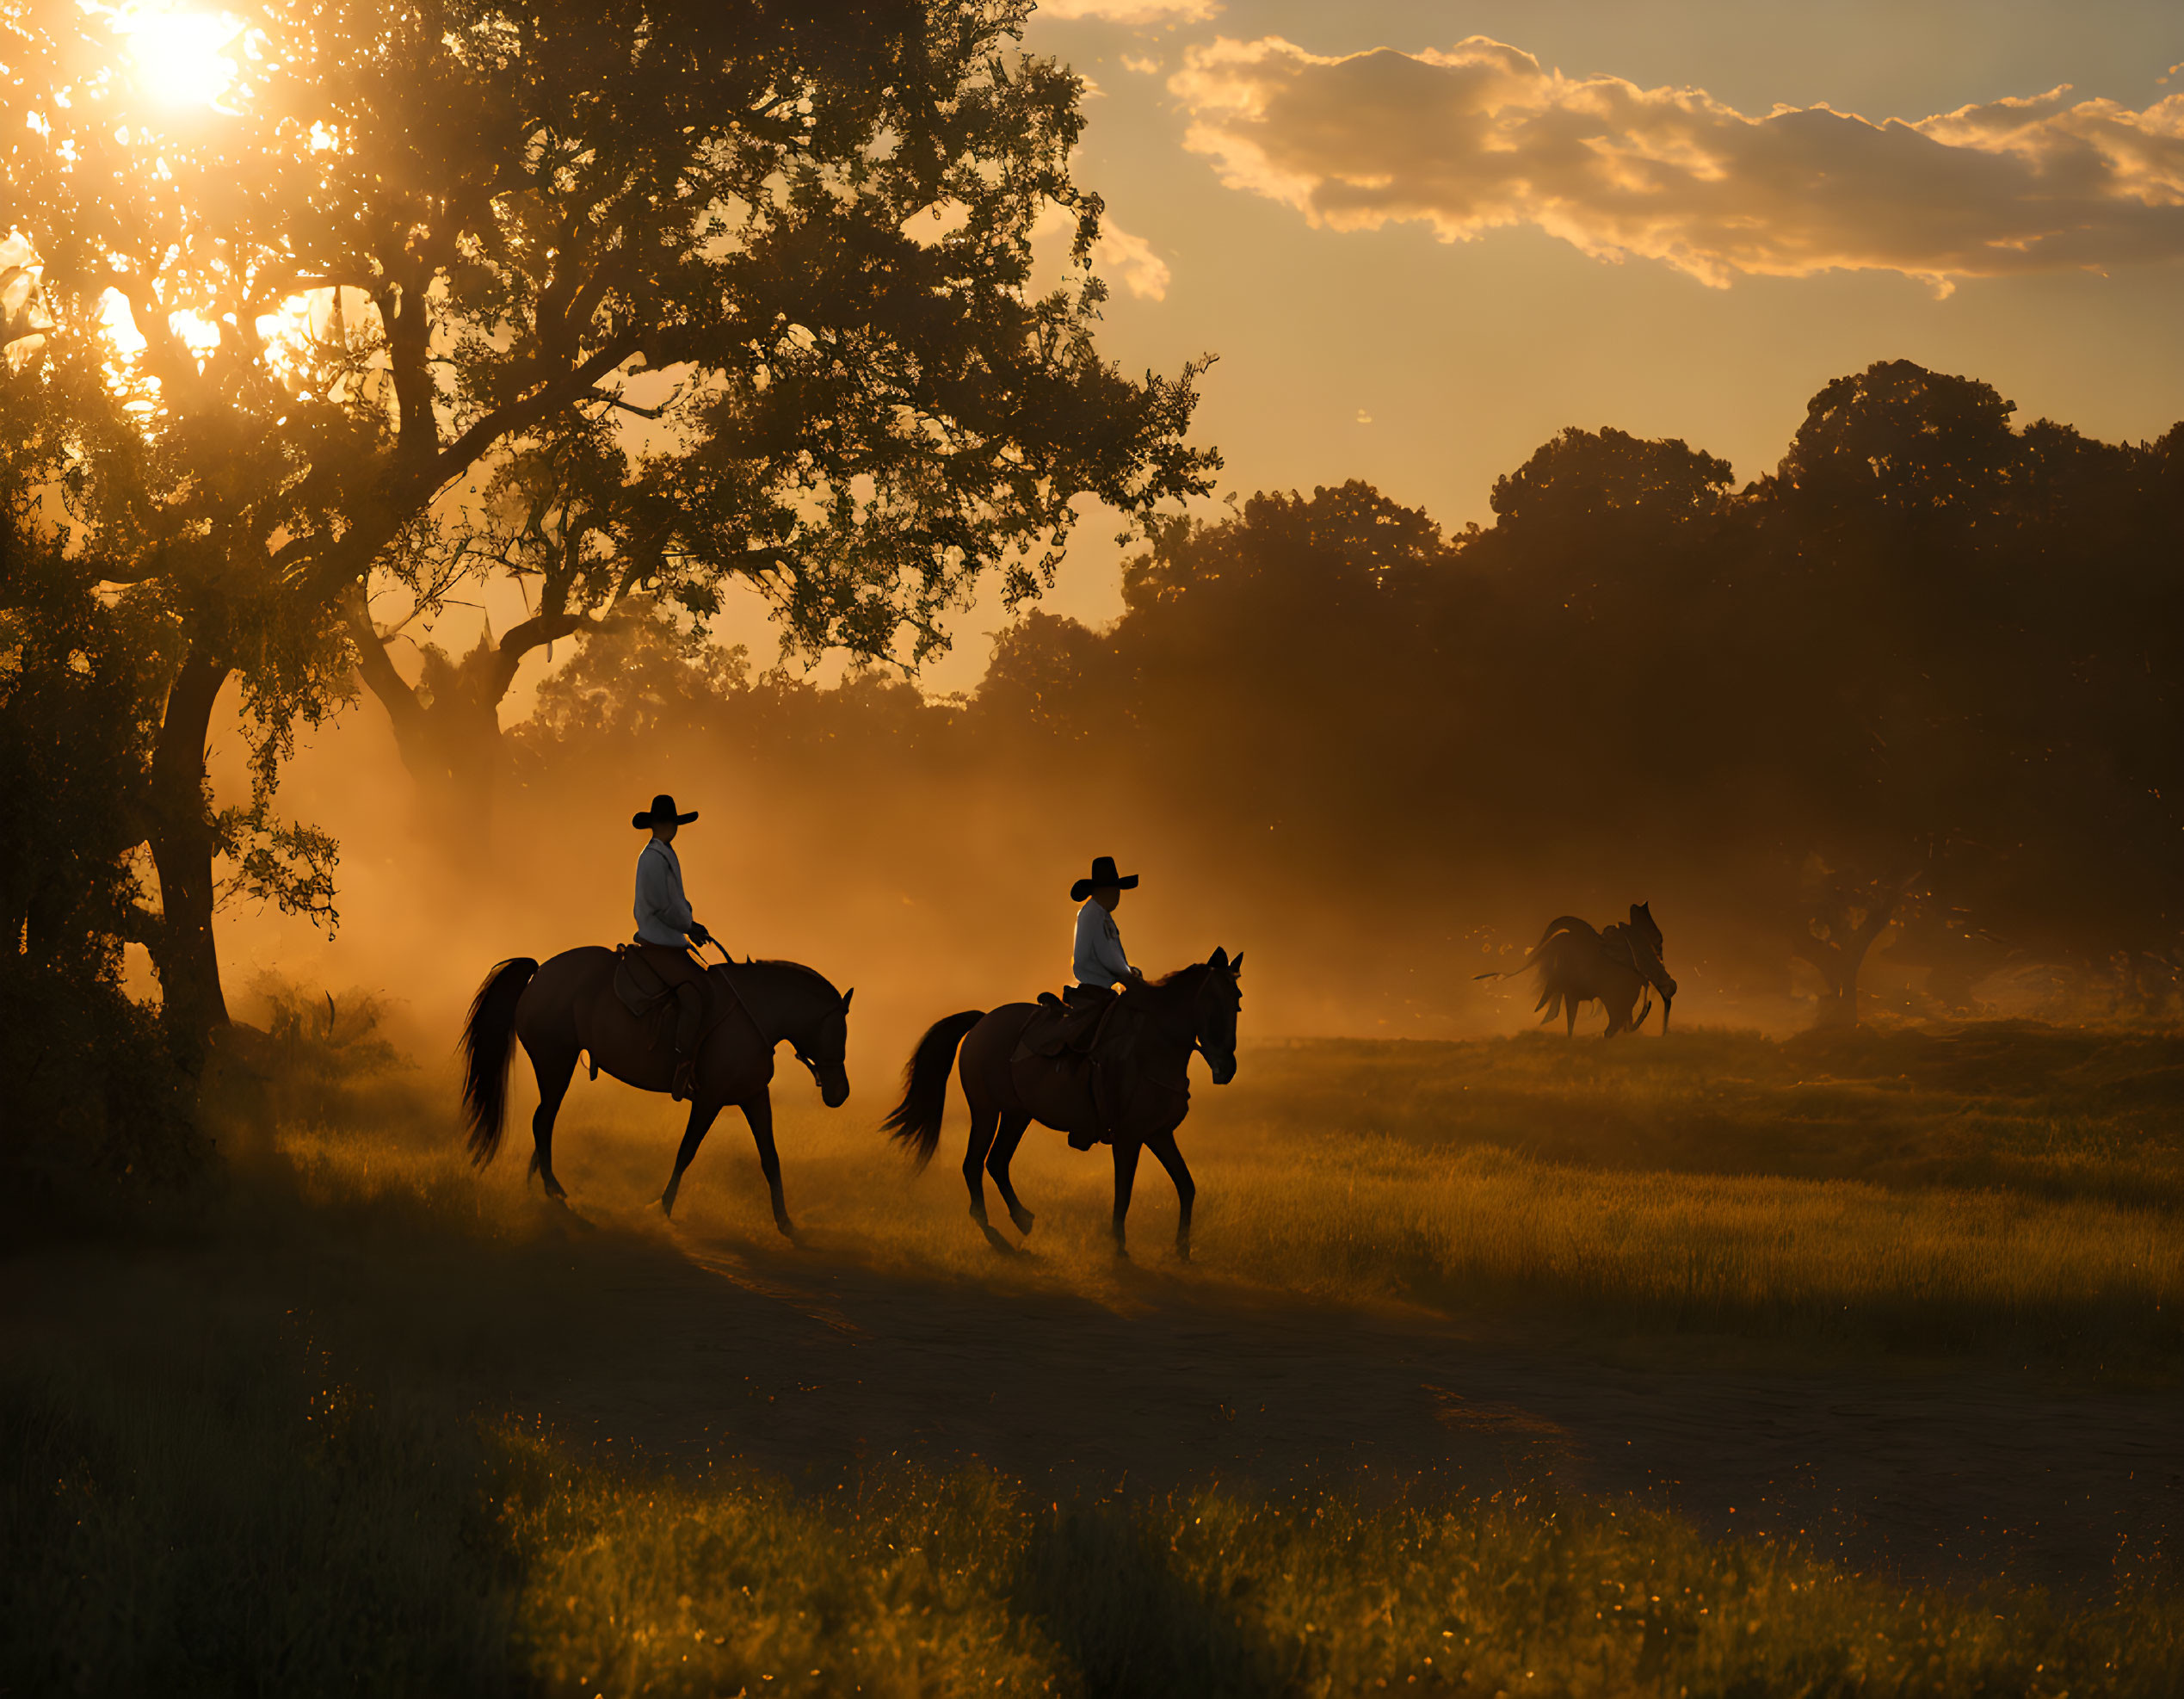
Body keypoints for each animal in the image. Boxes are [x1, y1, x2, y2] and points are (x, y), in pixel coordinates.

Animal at [458, 939, 851, 1232]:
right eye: (838, 1033)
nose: (840, 1093)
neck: (753, 1017)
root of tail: (540, 973)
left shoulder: (754, 1096)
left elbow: (770, 1158)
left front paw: (787, 1225)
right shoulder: (710, 1100)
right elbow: (687, 1151)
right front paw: (662, 1207)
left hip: (557, 1066)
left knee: (545, 1121)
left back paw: (542, 1185)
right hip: (555, 1063)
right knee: (543, 1120)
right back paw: (553, 1190)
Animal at [873, 939, 1249, 1257]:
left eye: (1238, 1002)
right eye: (1214, 1003)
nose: (1226, 1067)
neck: (1153, 1050)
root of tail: (982, 1021)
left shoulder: (1158, 1134)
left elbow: (1186, 1186)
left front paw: (1182, 1249)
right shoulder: (1128, 1138)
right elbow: (1124, 1191)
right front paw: (1119, 1247)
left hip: (1017, 1114)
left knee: (997, 1162)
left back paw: (1022, 1219)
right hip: (985, 1111)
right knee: (974, 1163)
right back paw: (992, 1229)